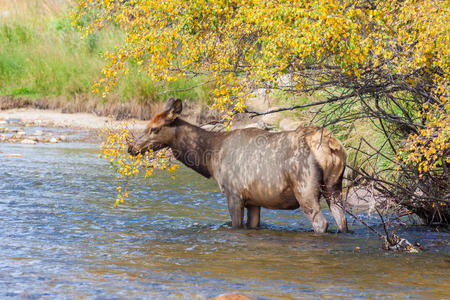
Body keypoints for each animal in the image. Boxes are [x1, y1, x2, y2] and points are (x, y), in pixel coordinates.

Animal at [126, 97, 348, 233]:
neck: (210, 158)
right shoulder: (254, 200)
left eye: (154, 129)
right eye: (147, 125)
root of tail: (332, 145)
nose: (131, 147)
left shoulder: (234, 193)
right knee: (342, 220)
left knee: (321, 222)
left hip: (305, 186)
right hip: (334, 187)